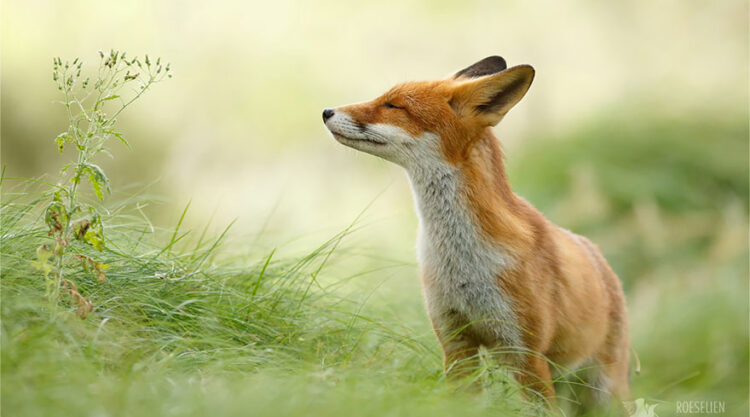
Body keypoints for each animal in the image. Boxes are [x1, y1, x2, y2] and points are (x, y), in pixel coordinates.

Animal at [320, 56, 632, 410]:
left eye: (394, 105)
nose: (326, 111)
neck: (462, 261)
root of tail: (602, 260)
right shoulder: (455, 342)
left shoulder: (526, 354)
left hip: (605, 391)